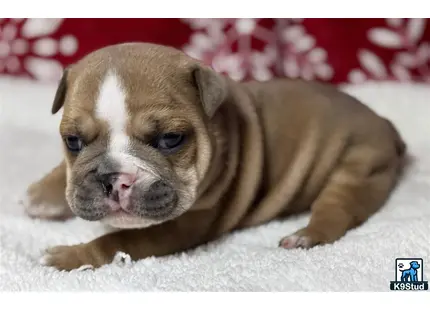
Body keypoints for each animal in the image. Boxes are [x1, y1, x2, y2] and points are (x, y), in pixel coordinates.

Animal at [22, 41, 406, 272]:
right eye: (73, 141)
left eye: (170, 139)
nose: (113, 179)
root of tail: (386, 125)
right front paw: (40, 194)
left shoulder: (187, 223)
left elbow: (119, 239)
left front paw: (68, 256)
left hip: (357, 170)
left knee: (337, 210)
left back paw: (305, 235)